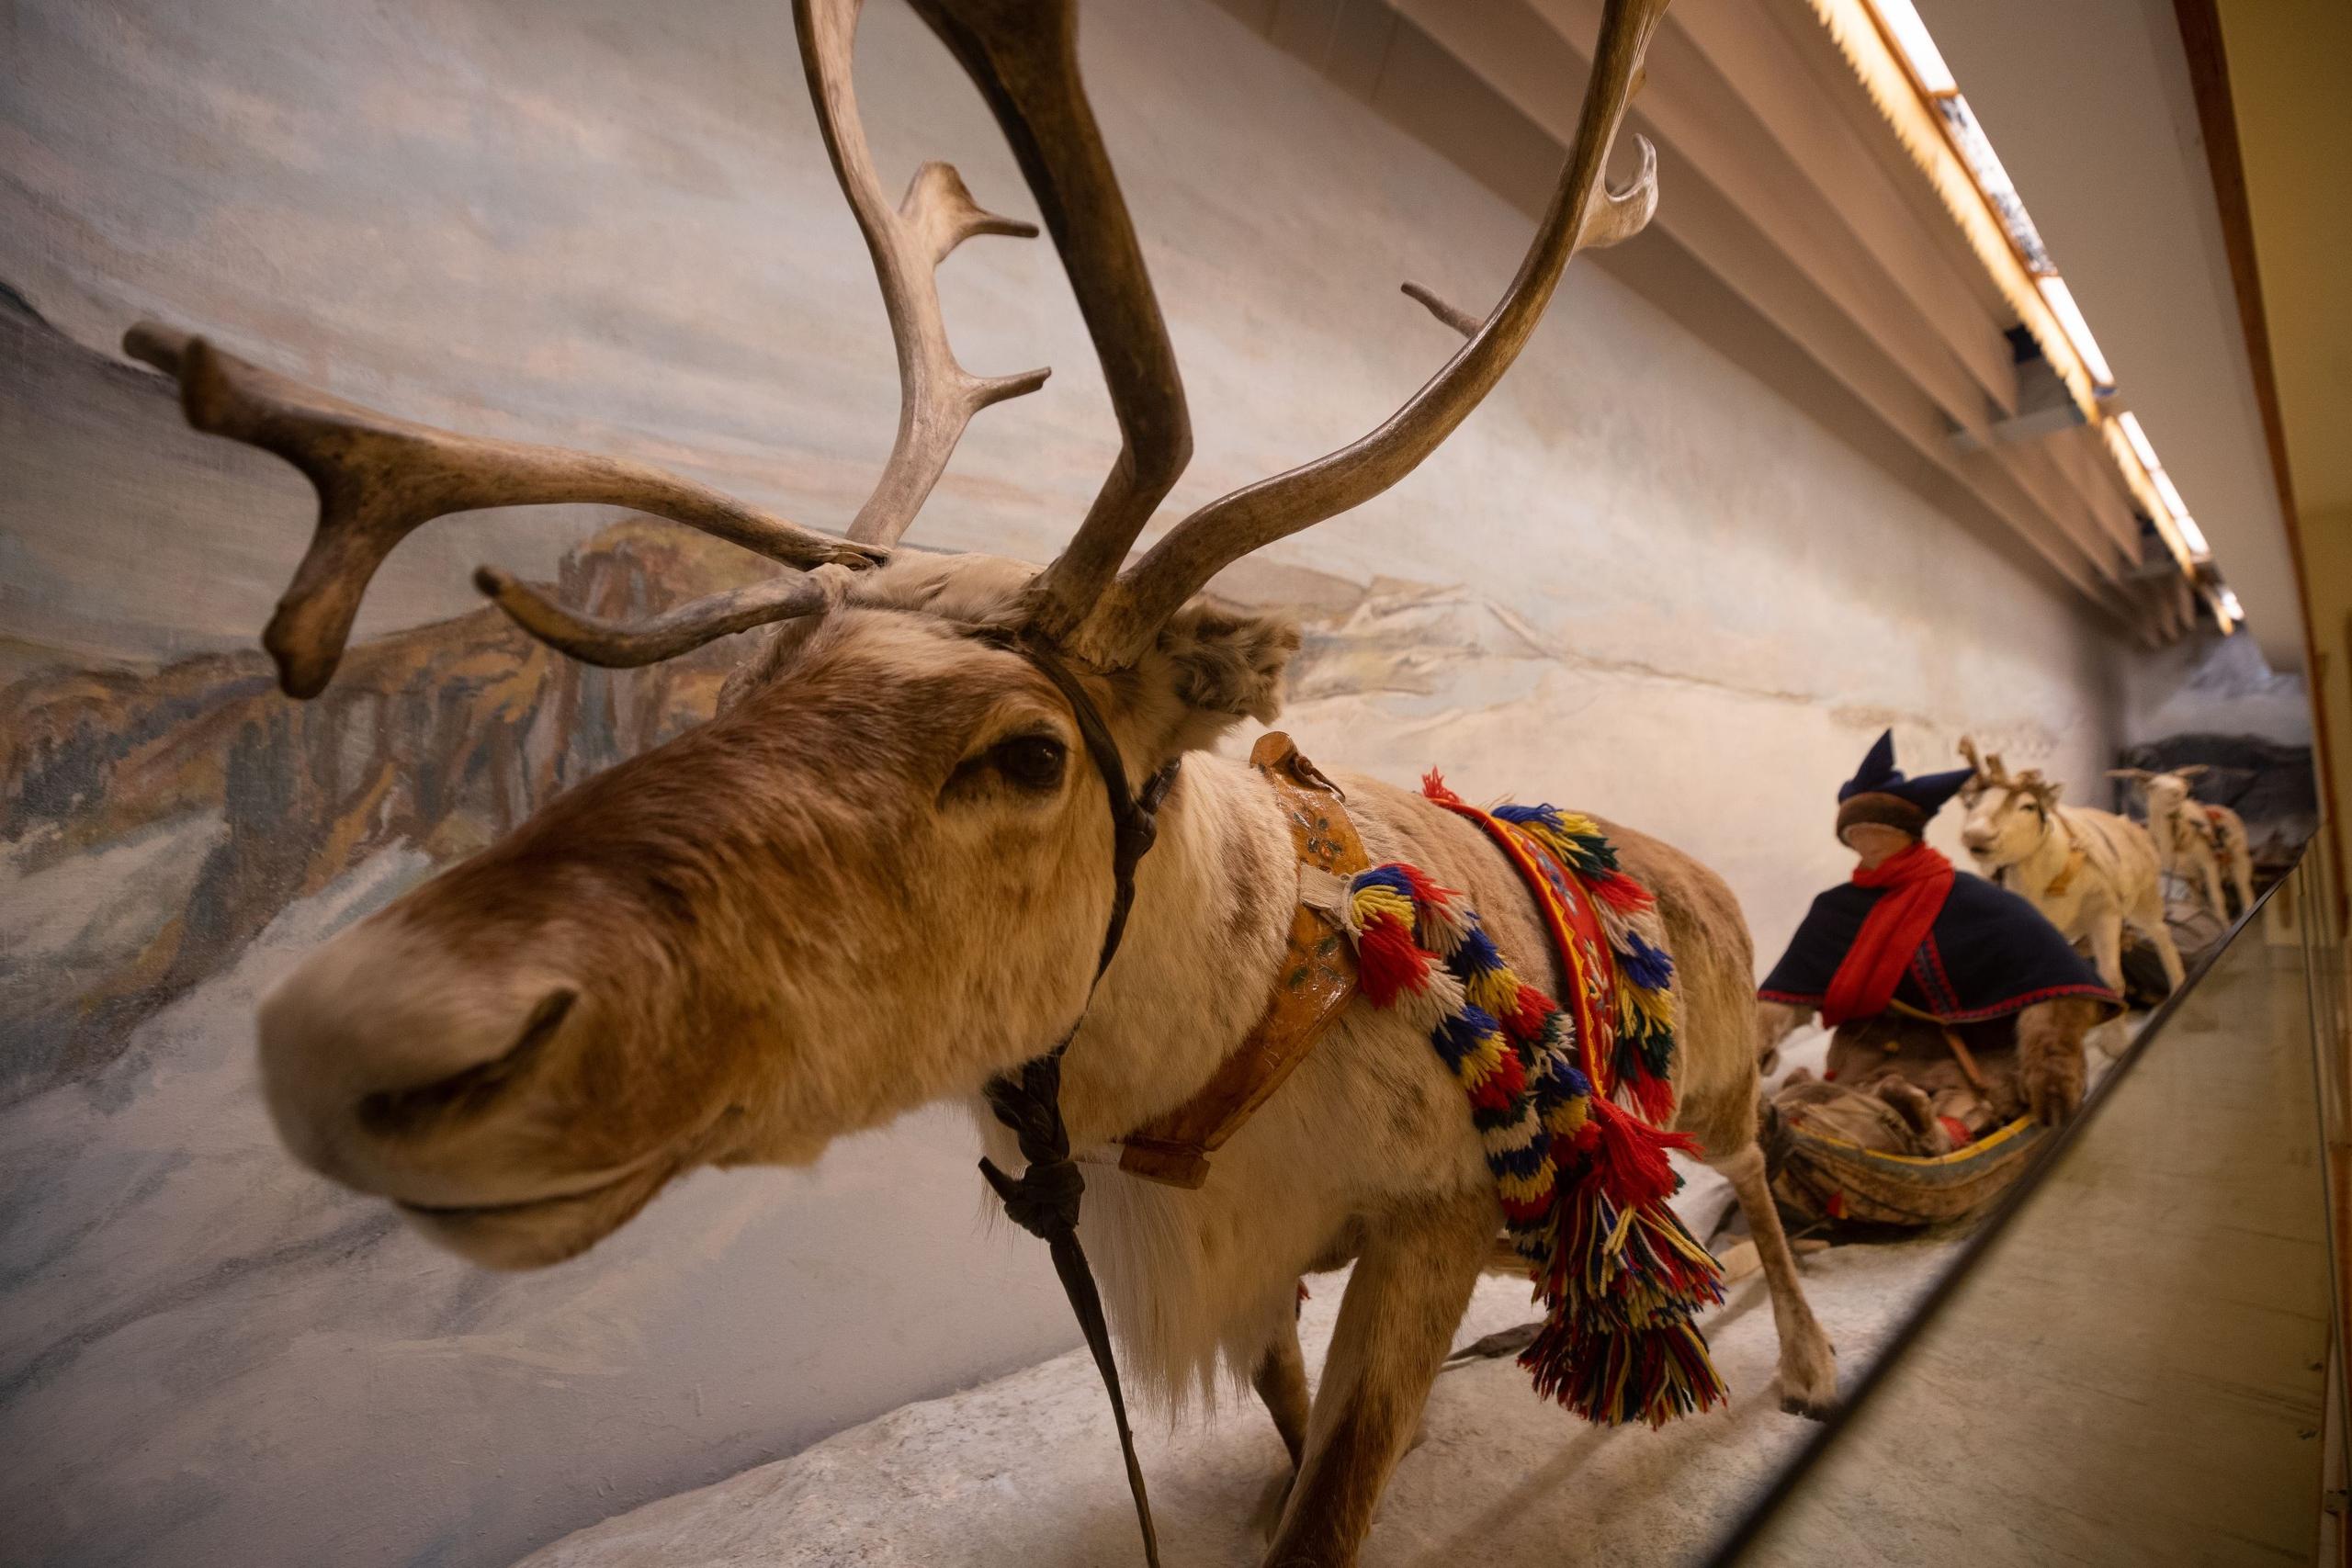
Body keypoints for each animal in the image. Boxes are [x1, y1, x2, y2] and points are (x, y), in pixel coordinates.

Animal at [124, 1, 1836, 1562]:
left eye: (1029, 750)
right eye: (751, 687)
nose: (372, 1032)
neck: (1231, 1027)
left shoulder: (1430, 1224)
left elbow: (1333, 1504)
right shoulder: (1252, 1269)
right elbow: (1292, 1436)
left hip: (1716, 1081)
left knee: (1755, 1166)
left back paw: (1813, 1358)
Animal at [1957, 740, 2183, 1002]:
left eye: (2028, 806)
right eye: (1971, 804)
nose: (1976, 835)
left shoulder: (2105, 910)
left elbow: (2112, 982)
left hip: (2144, 899)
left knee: (2161, 933)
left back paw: (2177, 986)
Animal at [2107, 765, 2256, 922]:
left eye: (2181, 781)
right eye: (2153, 786)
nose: (2178, 791)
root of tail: (2228, 810)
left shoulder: (2209, 862)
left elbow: (2218, 898)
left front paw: (2225, 924)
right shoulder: (2182, 872)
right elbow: (2195, 901)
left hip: (2240, 858)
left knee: (2245, 890)